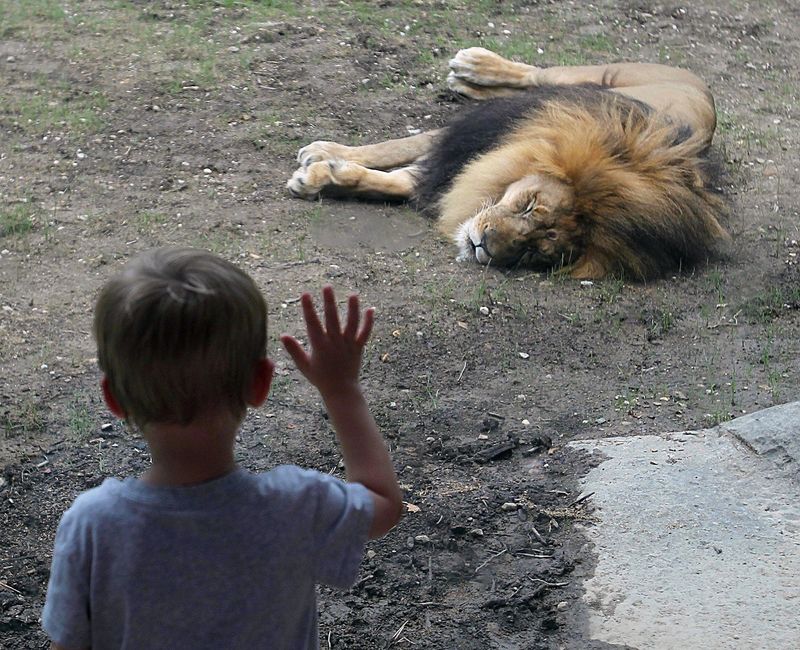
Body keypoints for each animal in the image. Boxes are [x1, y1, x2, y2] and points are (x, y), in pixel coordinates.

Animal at [287, 47, 729, 280]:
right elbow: (395, 147)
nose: (482, 245)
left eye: (537, 251)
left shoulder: (456, 171)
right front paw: (322, 153)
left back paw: (468, 79)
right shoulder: (477, 137)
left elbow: (392, 181)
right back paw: (474, 65)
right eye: (529, 205)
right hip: (591, 76)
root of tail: (706, 89)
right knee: (536, 74)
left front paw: (324, 175)